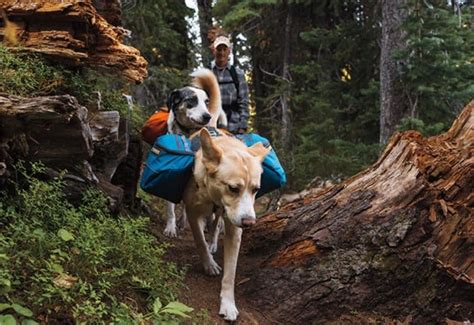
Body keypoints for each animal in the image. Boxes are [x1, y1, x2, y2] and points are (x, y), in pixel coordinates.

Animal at [182, 128, 268, 320]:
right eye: (233, 188)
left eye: (256, 189)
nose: (249, 223)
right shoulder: (192, 212)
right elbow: (199, 240)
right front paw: (209, 263)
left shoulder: (235, 230)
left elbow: (230, 273)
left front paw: (228, 304)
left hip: (221, 216)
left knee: (215, 226)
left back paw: (213, 243)